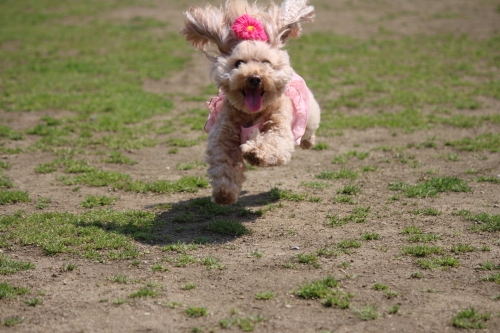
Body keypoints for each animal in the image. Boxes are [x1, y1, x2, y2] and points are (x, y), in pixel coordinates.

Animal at [184, 0, 320, 204]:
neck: (251, 114)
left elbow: (274, 142)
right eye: (238, 63)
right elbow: (224, 163)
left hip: (309, 114)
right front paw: (224, 194)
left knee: (307, 131)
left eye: (266, 62)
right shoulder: (223, 136)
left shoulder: (279, 127)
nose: (254, 78)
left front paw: (255, 153)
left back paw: (307, 142)